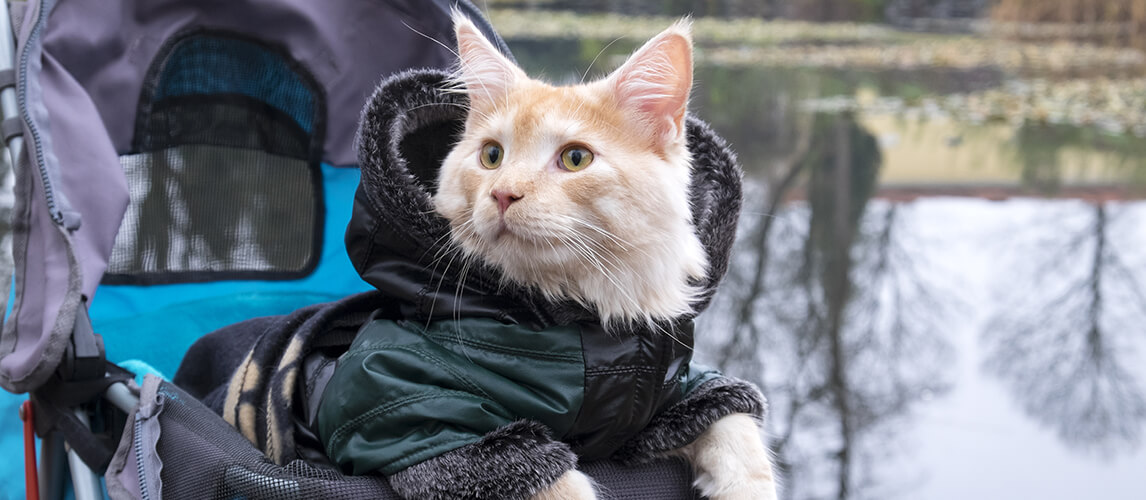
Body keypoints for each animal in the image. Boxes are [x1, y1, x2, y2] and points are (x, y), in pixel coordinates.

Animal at [430, 12, 779, 499]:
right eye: (492, 155)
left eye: (576, 159)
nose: (502, 195)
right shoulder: (431, 423)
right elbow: (555, 484)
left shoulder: (676, 397)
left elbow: (736, 432)